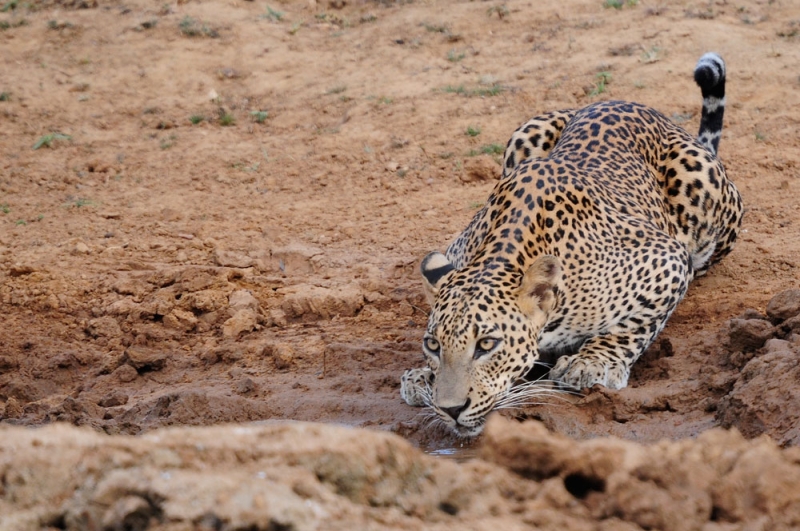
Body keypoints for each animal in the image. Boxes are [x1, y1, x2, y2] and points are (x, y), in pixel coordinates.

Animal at [400, 53, 742, 437]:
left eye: (487, 344)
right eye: (433, 344)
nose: (451, 409)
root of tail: (635, 105)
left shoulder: (667, 260)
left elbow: (632, 326)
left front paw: (592, 362)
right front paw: (422, 376)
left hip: (703, 190)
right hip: (525, 132)